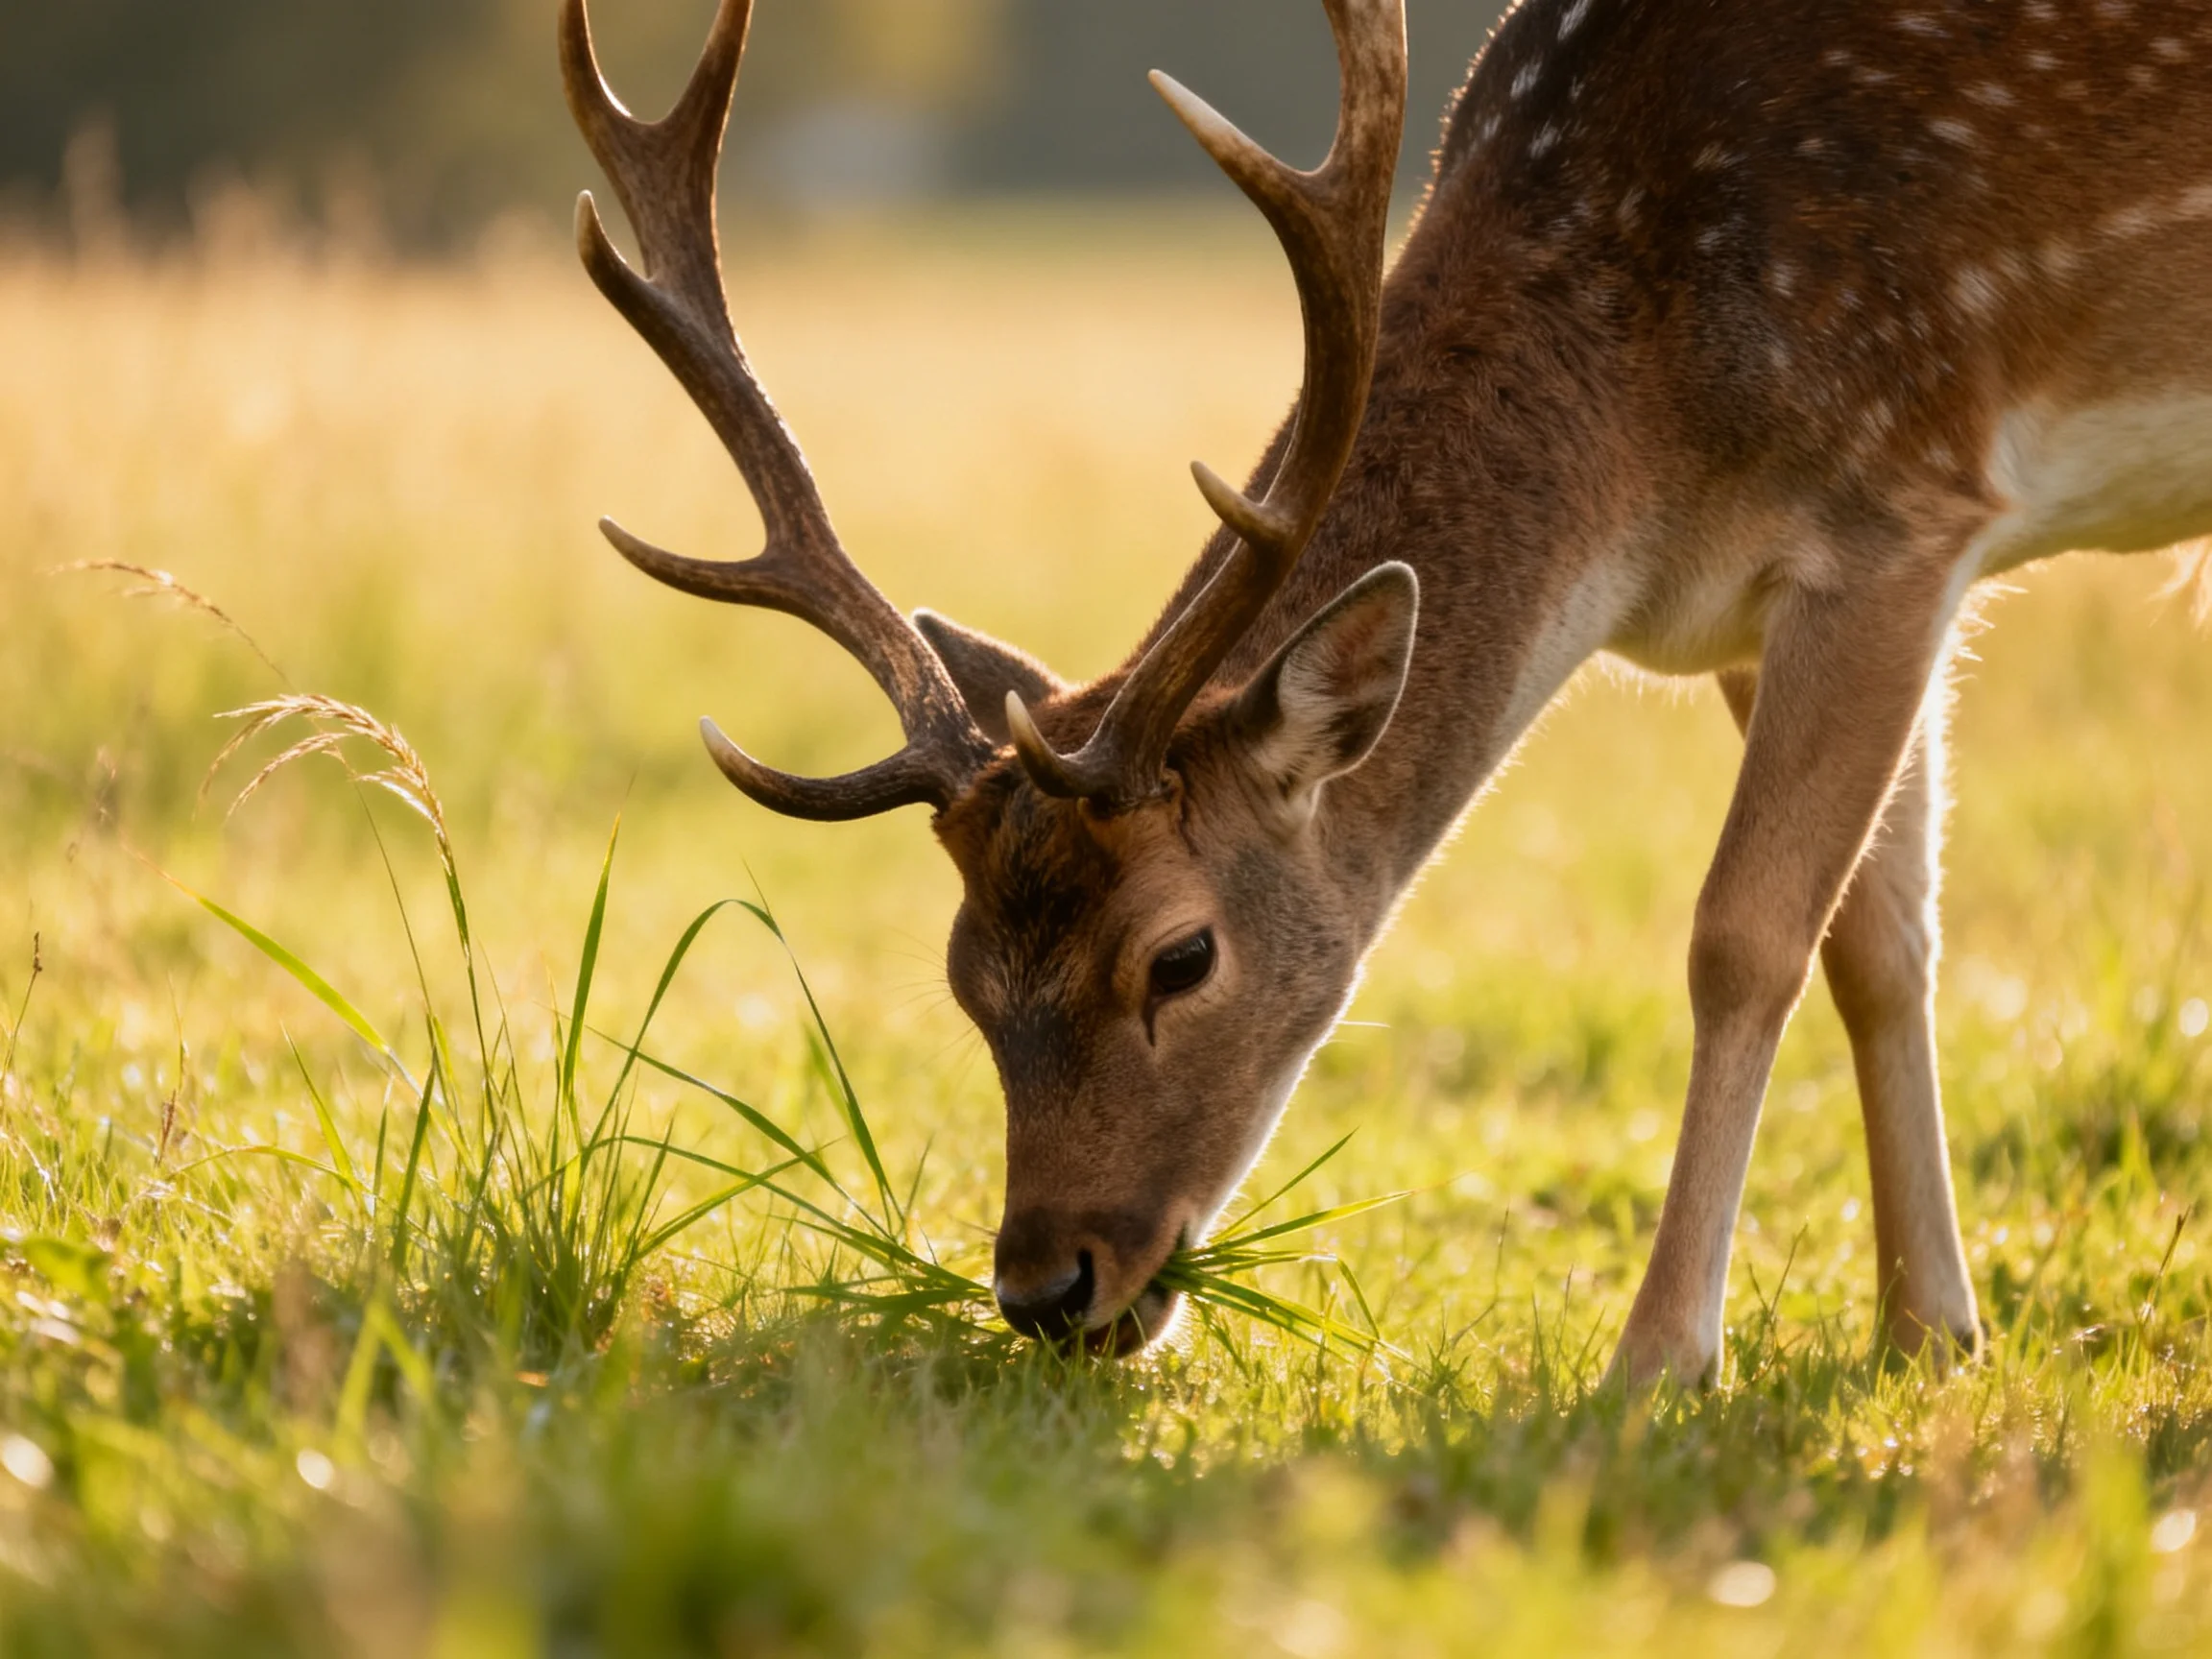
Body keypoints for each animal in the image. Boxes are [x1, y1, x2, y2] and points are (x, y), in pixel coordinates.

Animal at [561, 0, 2212, 1386]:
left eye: (1179, 957)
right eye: (967, 978)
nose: (1046, 1290)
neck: (1653, 468)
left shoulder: (1899, 497)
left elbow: (1744, 938)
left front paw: (1659, 1362)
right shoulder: (1775, 609)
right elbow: (1879, 942)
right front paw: (1933, 1333)